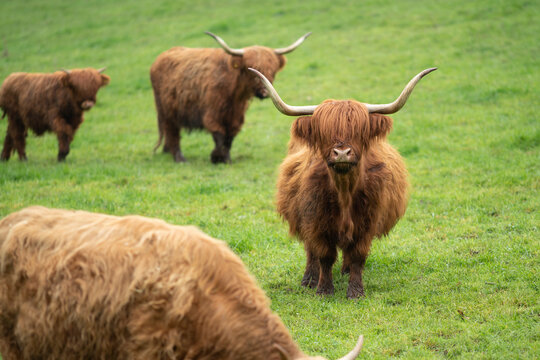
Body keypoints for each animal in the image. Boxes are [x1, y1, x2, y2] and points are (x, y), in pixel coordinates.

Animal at [150, 31, 310, 164]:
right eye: (250, 67)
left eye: (273, 69)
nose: (265, 91)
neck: (233, 93)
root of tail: (161, 57)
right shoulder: (212, 113)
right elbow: (219, 135)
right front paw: (217, 158)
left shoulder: (235, 116)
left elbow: (229, 137)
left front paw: (224, 158)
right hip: (167, 109)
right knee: (172, 132)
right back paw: (180, 159)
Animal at [251, 65, 436, 298]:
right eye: (324, 132)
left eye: (359, 131)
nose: (341, 153)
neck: (345, 190)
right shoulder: (316, 222)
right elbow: (324, 255)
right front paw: (323, 289)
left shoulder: (367, 223)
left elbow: (357, 255)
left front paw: (355, 291)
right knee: (311, 252)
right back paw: (309, 280)